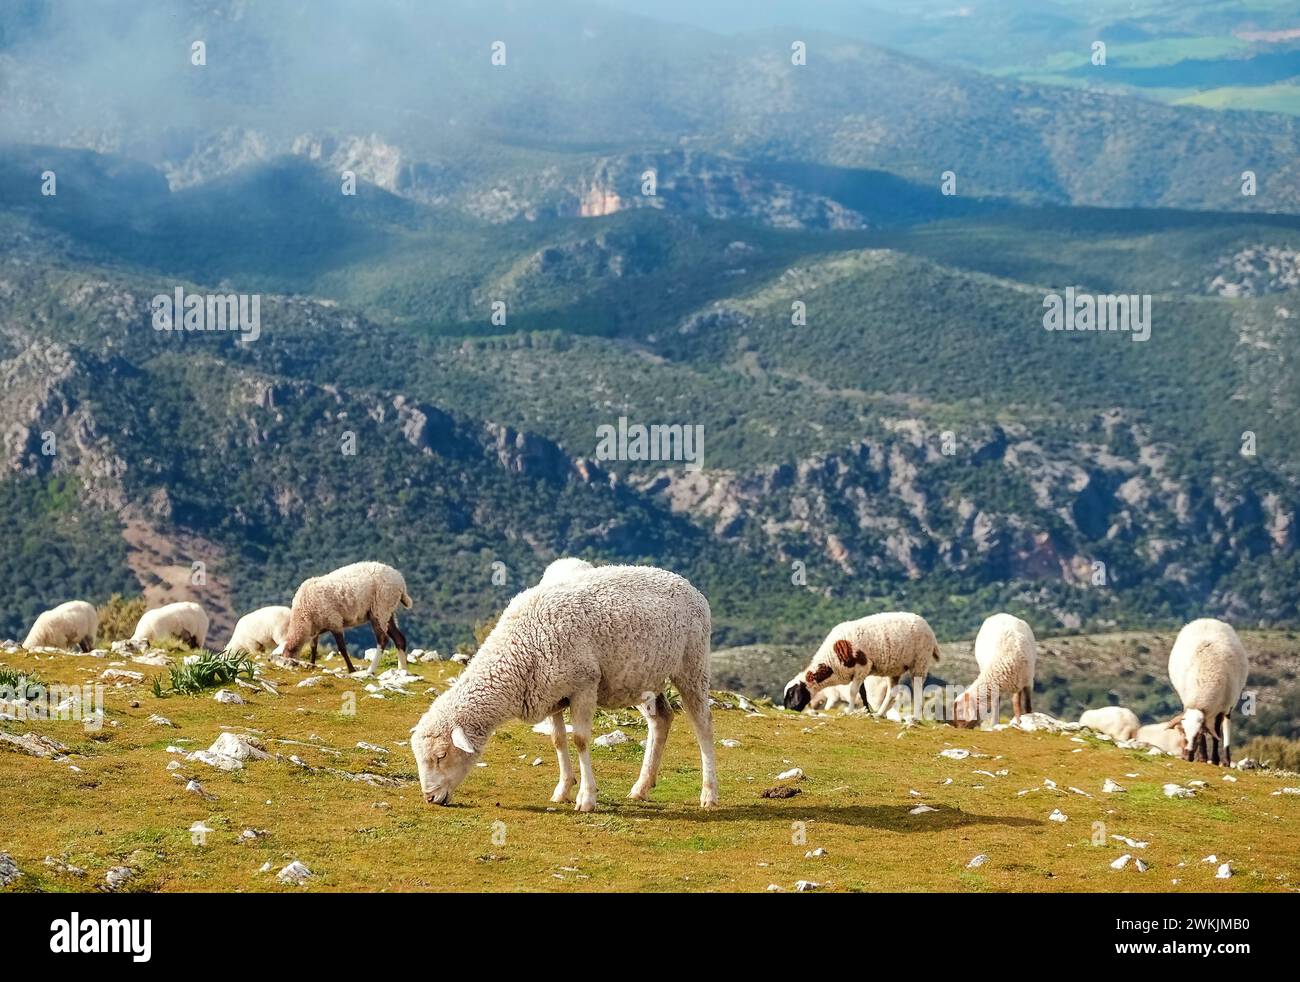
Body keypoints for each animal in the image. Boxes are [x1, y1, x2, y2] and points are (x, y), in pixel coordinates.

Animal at [275, 561, 410, 676]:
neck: (303, 616)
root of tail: (400, 581)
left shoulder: (335, 622)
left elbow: (342, 648)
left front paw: (351, 669)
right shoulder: (315, 629)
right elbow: (314, 648)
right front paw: (312, 665)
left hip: (380, 608)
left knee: (382, 639)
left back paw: (371, 670)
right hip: (388, 611)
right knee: (399, 639)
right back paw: (402, 670)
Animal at [410, 564, 717, 811]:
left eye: (441, 756)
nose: (429, 798)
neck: (519, 649)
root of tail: (686, 583)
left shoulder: (584, 686)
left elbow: (580, 740)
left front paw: (587, 798)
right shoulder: (549, 695)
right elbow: (558, 740)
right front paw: (563, 790)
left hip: (692, 665)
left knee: (702, 724)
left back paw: (709, 793)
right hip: (641, 678)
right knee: (661, 719)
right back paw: (641, 788)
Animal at [774, 613, 941, 712]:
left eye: (791, 694)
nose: (789, 710)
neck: (831, 660)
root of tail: (929, 628)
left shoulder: (863, 667)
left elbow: (852, 692)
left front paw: (850, 711)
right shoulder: (859, 673)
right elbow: (862, 693)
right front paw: (867, 711)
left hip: (920, 662)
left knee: (918, 690)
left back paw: (914, 716)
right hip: (896, 669)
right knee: (891, 694)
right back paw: (880, 714)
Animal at [1170, 613, 1248, 769]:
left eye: (1194, 736)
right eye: (1182, 732)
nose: (1186, 757)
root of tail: (1207, 619)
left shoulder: (1221, 709)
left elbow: (1215, 732)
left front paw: (1215, 759)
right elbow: (1206, 732)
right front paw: (1202, 758)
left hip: (1230, 705)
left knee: (1225, 726)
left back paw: (1226, 760)